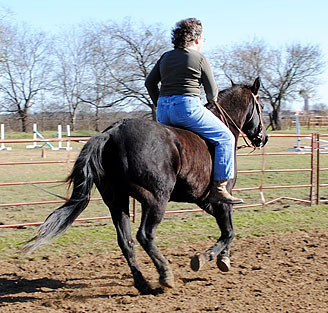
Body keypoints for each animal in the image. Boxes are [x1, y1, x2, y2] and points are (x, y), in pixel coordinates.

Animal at [23, 77, 270, 292]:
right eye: (261, 106)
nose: (264, 137)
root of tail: (112, 133)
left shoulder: (206, 201)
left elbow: (228, 227)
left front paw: (223, 259)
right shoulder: (222, 196)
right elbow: (229, 230)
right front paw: (206, 258)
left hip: (117, 201)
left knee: (126, 241)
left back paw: (143, 283)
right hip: (155, 200)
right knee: (145, 235)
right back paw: (165, 275)